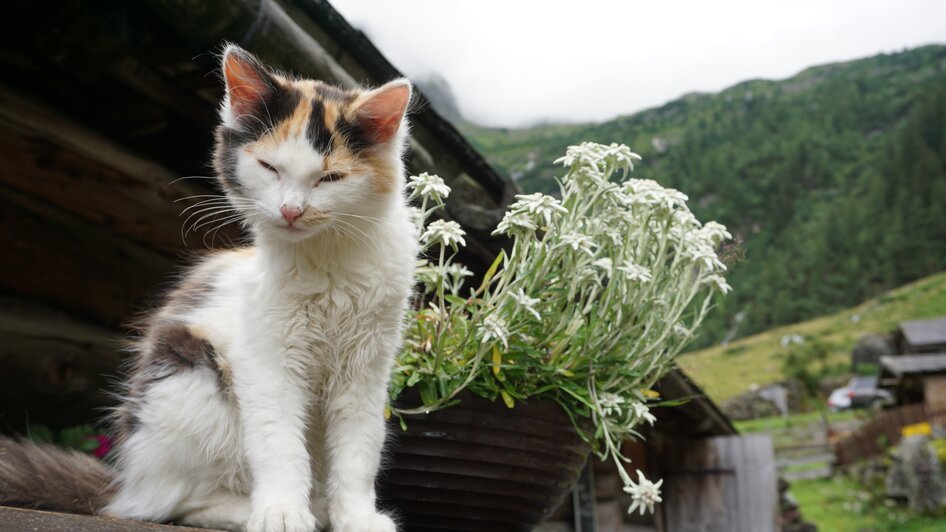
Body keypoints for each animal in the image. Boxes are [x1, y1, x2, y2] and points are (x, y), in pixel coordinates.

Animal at [0, 44, 416, 532]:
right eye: (269, 167)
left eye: (329, 178)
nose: (291, 210)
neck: (327, 259)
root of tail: (123, 482)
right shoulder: (266, 361)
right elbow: (279, 444)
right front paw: (281, 513)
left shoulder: (367, 367)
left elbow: (359, 451)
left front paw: (357, 517)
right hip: (192, 378)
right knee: (168, 503)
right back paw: (266, 510)